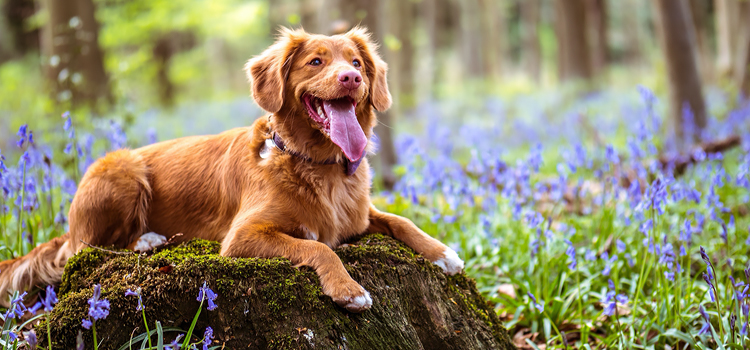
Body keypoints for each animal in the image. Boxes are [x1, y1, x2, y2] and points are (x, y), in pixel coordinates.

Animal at [0, 27, 464, 312]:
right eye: (316, 62)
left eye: (356, 62)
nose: (351, 78)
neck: (318, 166)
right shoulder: (242, 237)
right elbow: (320, 248)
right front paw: (348, 290)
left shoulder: (359, 216)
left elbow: (400, 220)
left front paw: (442, 252)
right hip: (122, 170)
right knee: (87, 248)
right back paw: (146, 240)